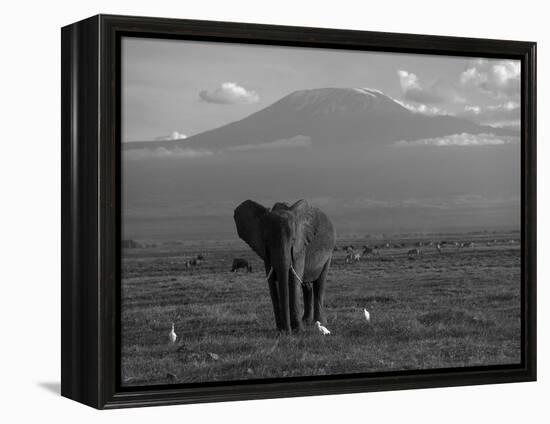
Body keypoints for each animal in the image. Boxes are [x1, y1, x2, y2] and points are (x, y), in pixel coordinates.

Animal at [234, 200, 336, 334]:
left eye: (293, 239)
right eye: (267, 241)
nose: (287, 331)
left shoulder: (300, 247)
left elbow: (293, 280)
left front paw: (297, 330)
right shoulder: (266, 254)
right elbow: (272, 282)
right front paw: (280, 330)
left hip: (329, 253)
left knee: (320, 283)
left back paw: (320, 323)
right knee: (306, 286)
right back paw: (306, 321)